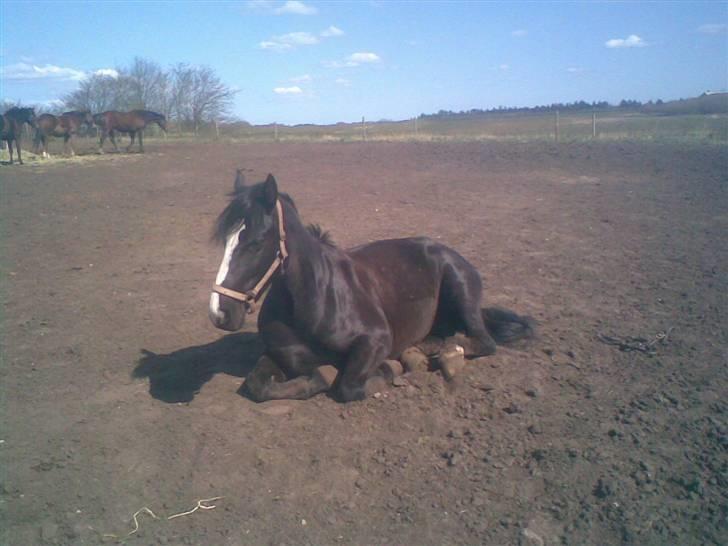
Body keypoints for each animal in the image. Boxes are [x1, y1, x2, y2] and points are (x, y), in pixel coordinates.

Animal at [208, 172, 532, 402]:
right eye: (224, 240)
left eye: (256, 243)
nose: (219, 314)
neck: (314, 299)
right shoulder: (280, 353)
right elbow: (257, 385)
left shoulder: (376, 340)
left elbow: (347, 386)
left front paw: (388, 369)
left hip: (460, 288)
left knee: (482, 340)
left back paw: (448, 355)